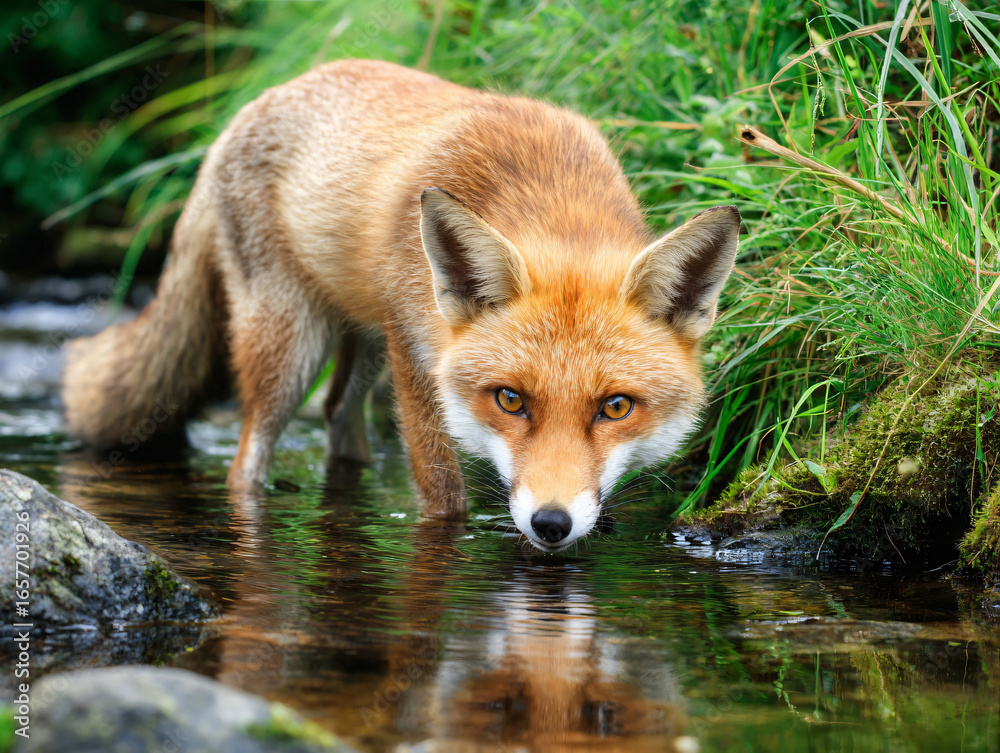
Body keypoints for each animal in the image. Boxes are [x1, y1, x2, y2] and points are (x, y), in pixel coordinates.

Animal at [62, 59, 740, 552]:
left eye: (616, 407)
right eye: (510, 400)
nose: (551, 524)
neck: (547, 190)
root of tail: (250, 105)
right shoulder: (417, 355)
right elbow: (442, 494)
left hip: (366, 340)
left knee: (337, 415)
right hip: (295, 348)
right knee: (249, 455)